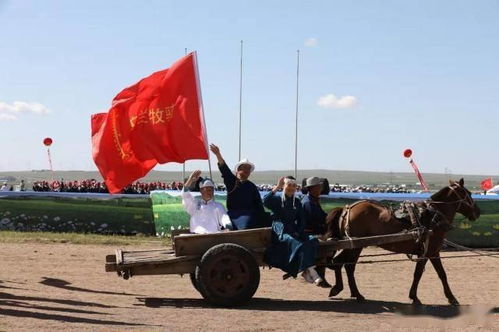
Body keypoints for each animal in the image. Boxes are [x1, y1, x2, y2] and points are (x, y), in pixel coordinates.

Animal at [326, 179, 482, 306]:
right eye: (468, 193)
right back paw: (346, 291)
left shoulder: (433, 252)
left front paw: (450, 297)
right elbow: (419, 274)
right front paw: (415, 297)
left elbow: (441, 274)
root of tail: (347, 209)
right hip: (355, 246)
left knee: (344, 264)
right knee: (343, 264)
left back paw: (350, 292)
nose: (478, 212)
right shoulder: (427, 252)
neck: (433, 216)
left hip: (356, 246)